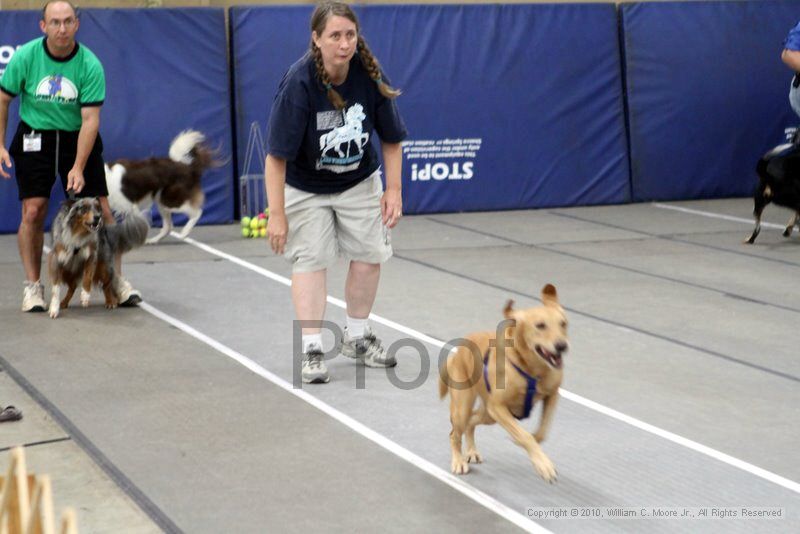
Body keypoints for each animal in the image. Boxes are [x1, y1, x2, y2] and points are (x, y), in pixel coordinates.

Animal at [438, 286, 568, 484]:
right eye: (540, 325)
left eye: (563, 323)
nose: (562, 346)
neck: (532, 369)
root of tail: (458, 350)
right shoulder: (498, 407)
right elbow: (525, 436)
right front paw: (543, 465)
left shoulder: (552, 395)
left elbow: (541, 433)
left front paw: (534, 447)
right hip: (465, 408)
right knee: (455, 433)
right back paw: (458, 461)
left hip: (488, 415)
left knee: (471, 422)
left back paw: (472, 452)